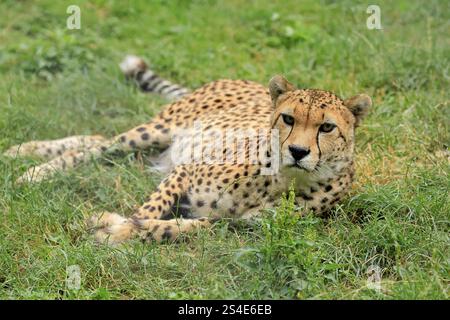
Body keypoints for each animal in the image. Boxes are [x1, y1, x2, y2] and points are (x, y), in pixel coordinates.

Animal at [3, 55, 370, 245]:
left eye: (326, 127)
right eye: (288, 118)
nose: (297, 151)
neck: (283, 180)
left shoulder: (232, 225)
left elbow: (170, 228)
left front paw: (118, 230)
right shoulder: (186, 169)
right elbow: (149, 209)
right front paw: (119, 224)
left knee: (95, 140)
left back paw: (25, 155)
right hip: (160, 131)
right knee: (101, 145)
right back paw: (31, 167)